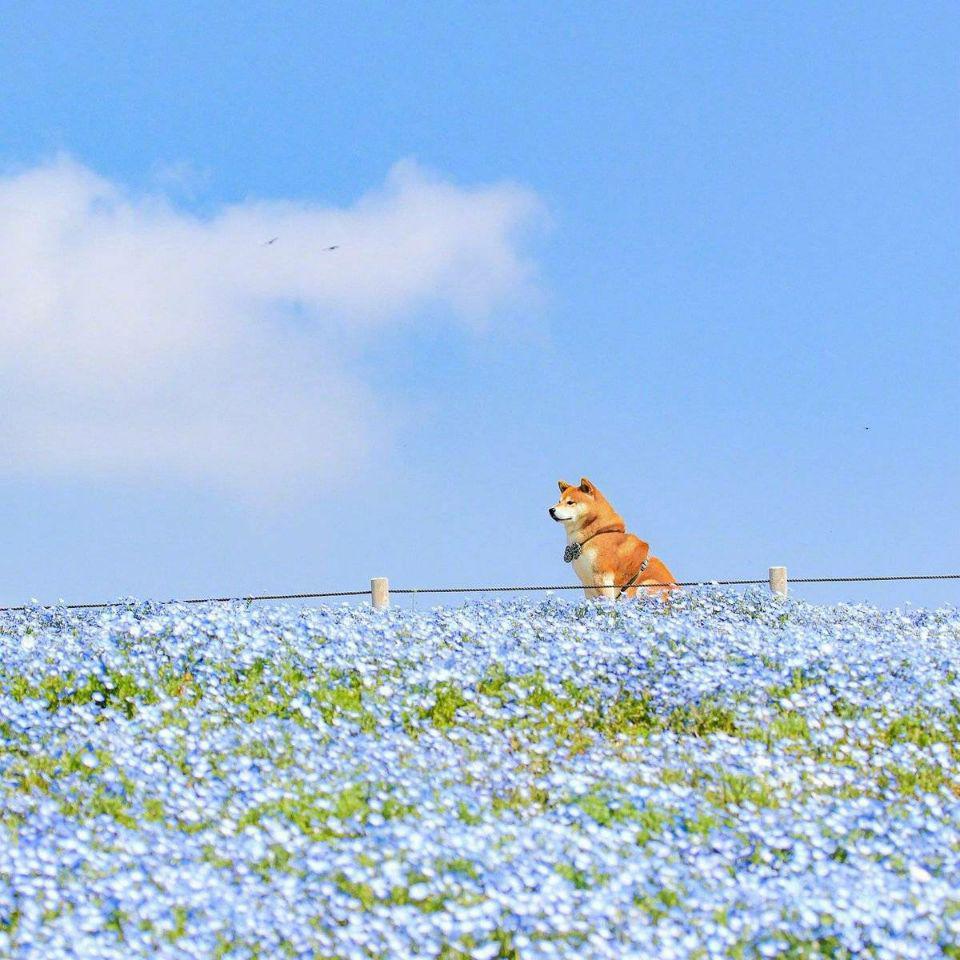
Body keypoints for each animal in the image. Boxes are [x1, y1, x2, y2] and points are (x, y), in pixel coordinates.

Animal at [548, 476, 676, 596]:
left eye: (570, 502)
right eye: (559, 501)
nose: (551, 510)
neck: (596, 534)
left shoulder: (603, 578)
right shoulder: (587, 585)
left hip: (646, 585)